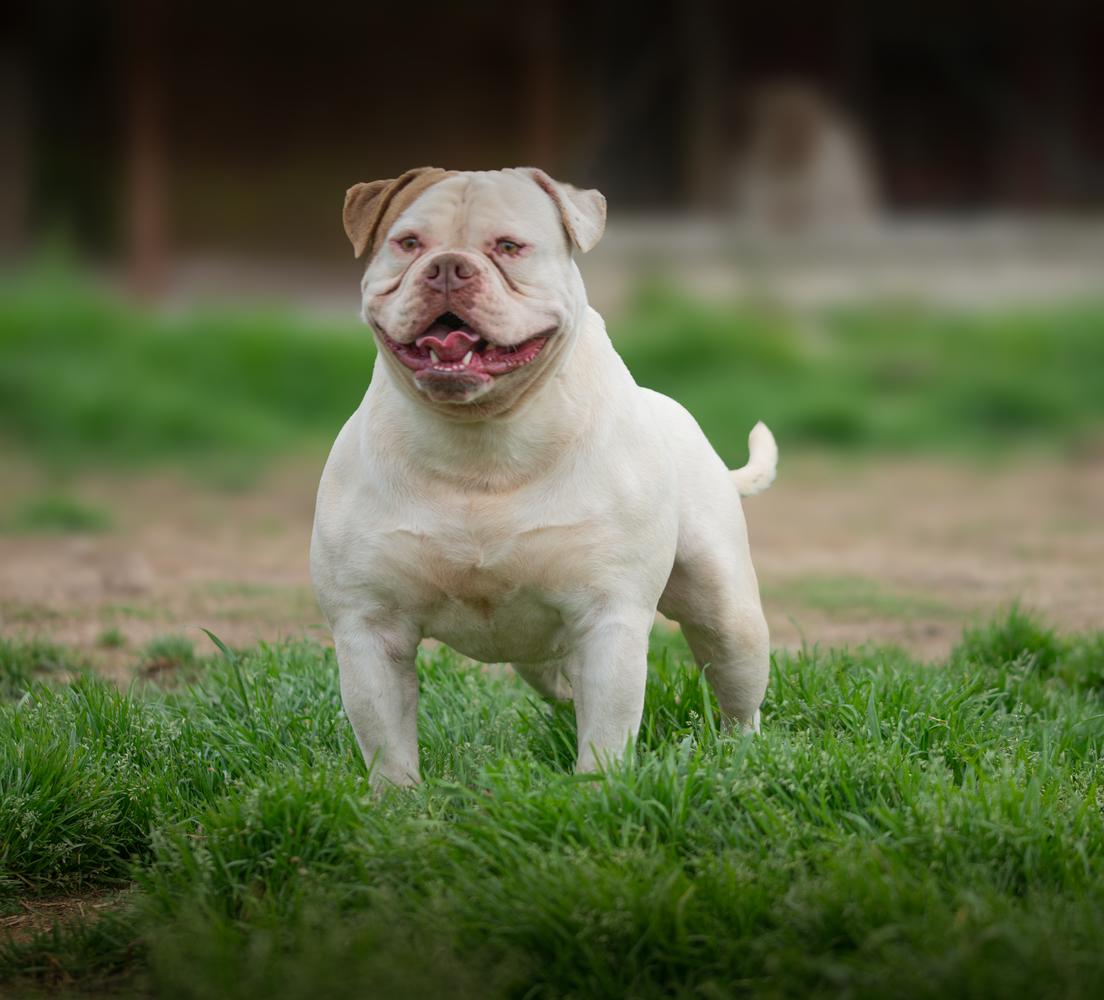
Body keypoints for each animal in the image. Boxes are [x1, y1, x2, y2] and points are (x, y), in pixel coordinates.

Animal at [311, 165, 777, 785]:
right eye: (408, 244)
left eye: (509, 247)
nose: (447, 267)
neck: (479, 441)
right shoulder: (369, 631)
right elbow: (388, 746)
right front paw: (398, 801)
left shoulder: (608, 622)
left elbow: (605, 735)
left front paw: (599, 791)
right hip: (537, 650)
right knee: (555, 679)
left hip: (727, 613)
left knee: (737, 689)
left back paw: (741, 757)